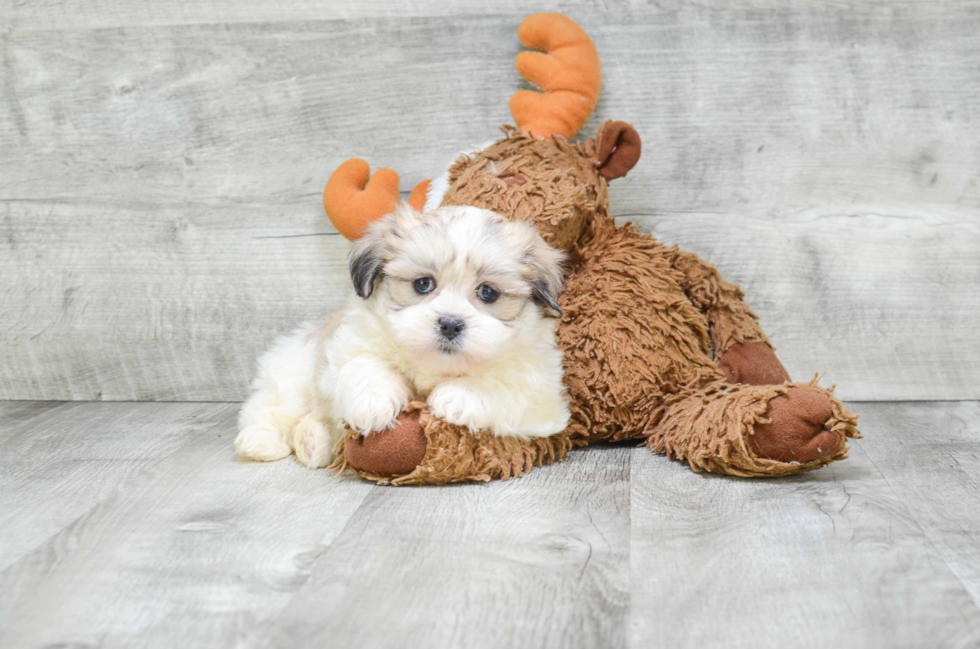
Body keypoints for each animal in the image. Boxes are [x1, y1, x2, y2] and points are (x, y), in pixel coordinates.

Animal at [236, 202, 572, 466]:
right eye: (423, 284)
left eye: (488, 293)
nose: (450, 323)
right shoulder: (348, 345)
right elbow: (362, 367)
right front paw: (373, 402)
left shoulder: (540, 394)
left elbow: (502, 386)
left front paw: (459, 397)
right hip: (294, 375)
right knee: (267, 409)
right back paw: (260, 442)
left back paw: (312, 441)